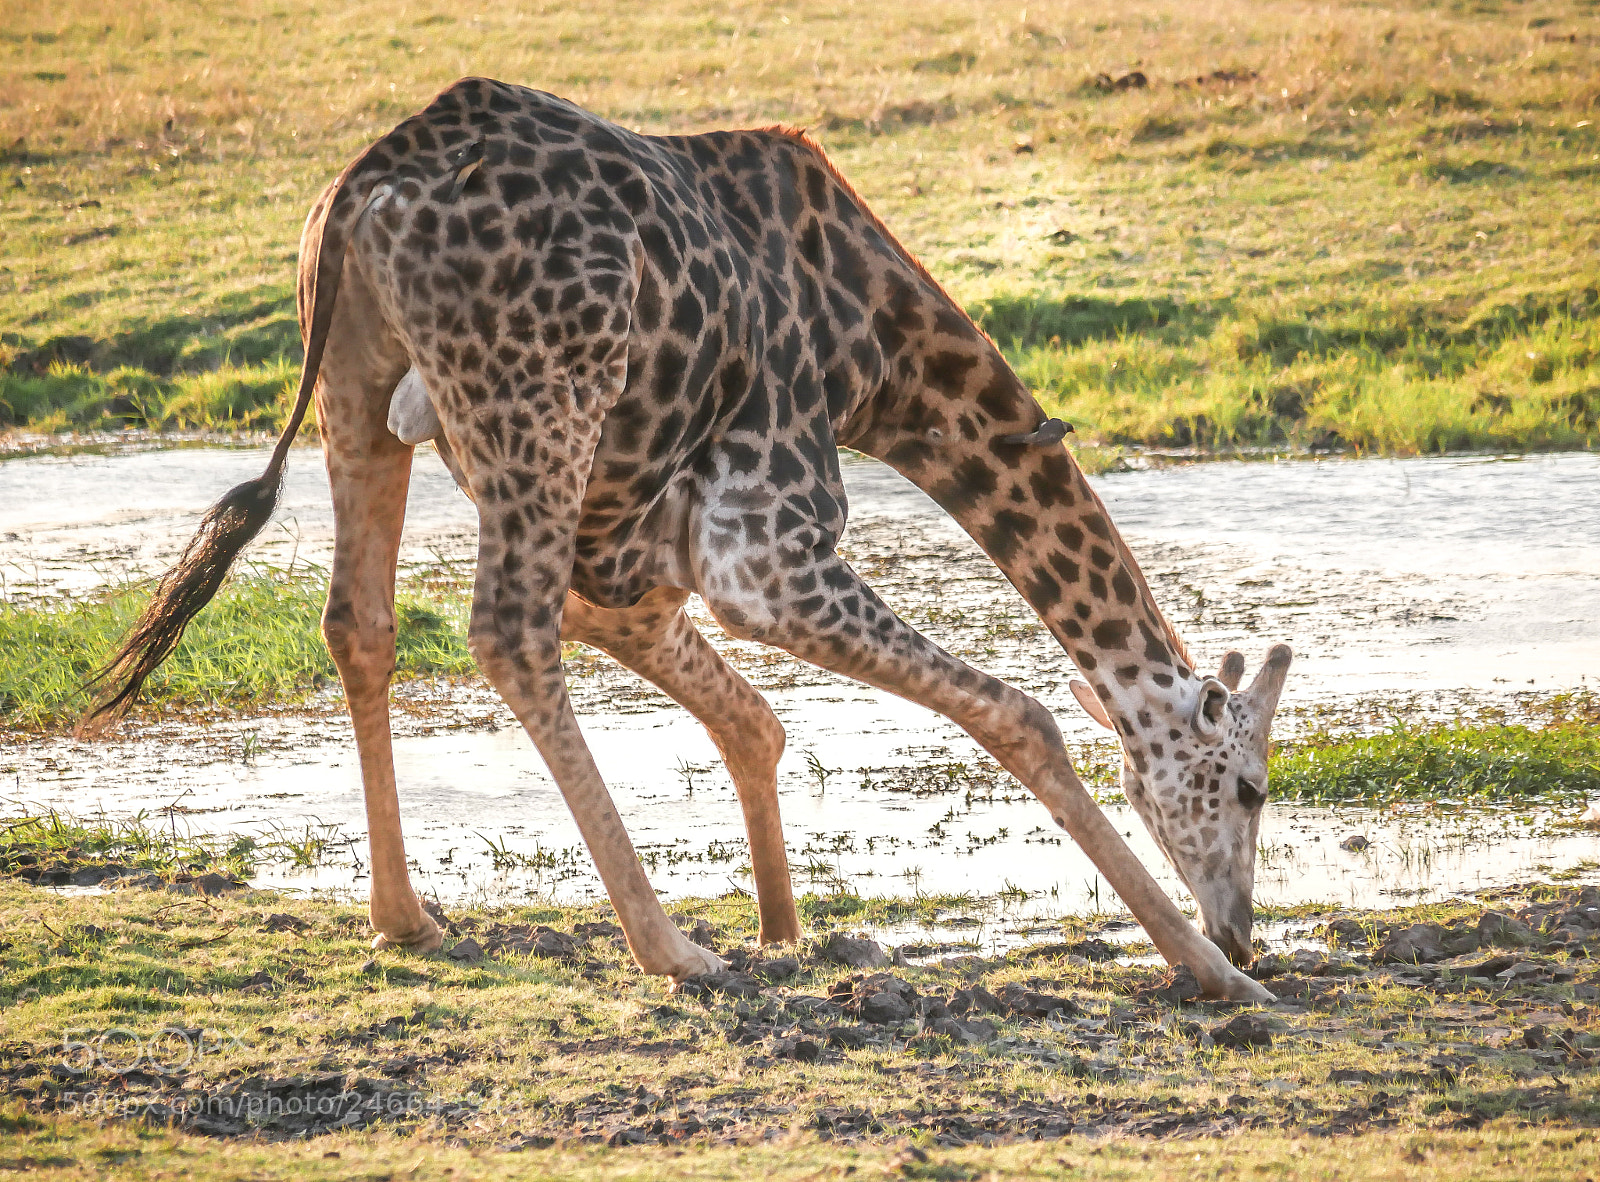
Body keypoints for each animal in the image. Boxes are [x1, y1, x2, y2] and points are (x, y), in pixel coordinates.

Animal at [86, 78, 1291, 1002]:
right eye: (1249, 788)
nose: (1240, 927)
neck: (878, 356)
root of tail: (369, 182)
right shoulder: (763, 557)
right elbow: (1021, 715)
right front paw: (1214, 977)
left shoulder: (629, 567)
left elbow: (755, 720)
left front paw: (790, 930)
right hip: (541, 402)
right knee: (505, 632)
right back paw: (670, 949)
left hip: (358, 384)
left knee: (360, 622)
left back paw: (407, 917)